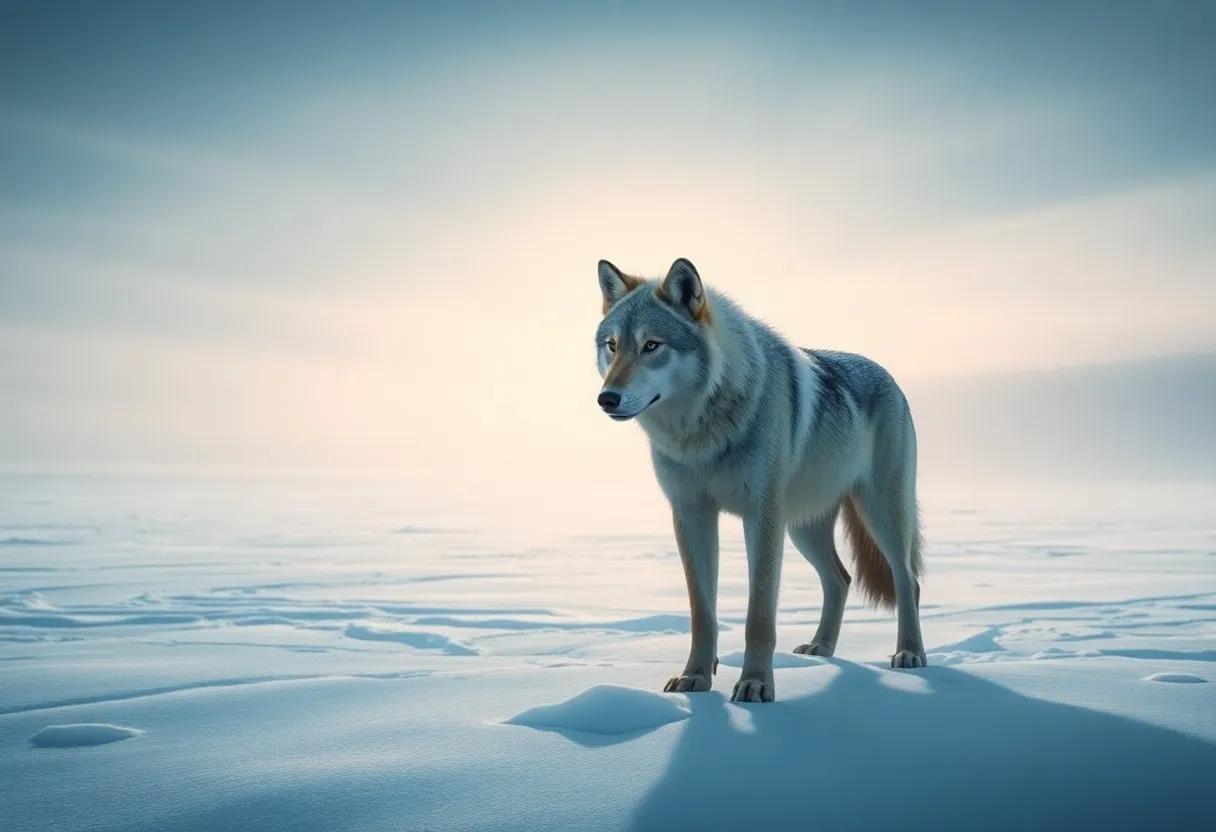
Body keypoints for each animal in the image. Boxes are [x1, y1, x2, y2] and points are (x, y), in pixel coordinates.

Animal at [595, 258, 926, 702]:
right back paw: (821, 649)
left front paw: (755, 684)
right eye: (612, 345)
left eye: (652, 345)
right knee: (840, 579)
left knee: (908, 581)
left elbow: (759, 616)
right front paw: (694, 678)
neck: (701, 433)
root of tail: (887, 374)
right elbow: (702, 614)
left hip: (880, 516)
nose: (606, 398)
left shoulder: (762, 516)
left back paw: (910, 654)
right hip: (804, 528)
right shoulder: (690, 515)